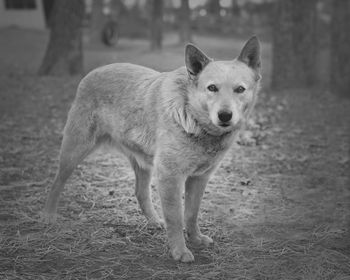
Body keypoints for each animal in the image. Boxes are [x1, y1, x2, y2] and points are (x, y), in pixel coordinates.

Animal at [43, 36, 262, 262]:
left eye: (240, 89)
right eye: (212, 88)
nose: (225, 115)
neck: (194, 119)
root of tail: (93, 72)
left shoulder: (199, 178)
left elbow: (191, 214)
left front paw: (195, 239)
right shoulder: (169, 176)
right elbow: (176, 218)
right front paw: (179, 250)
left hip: (143, 163)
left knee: (140, 192)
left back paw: (155, 221)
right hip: (74, 152)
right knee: (56, 182)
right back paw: (49, 216)